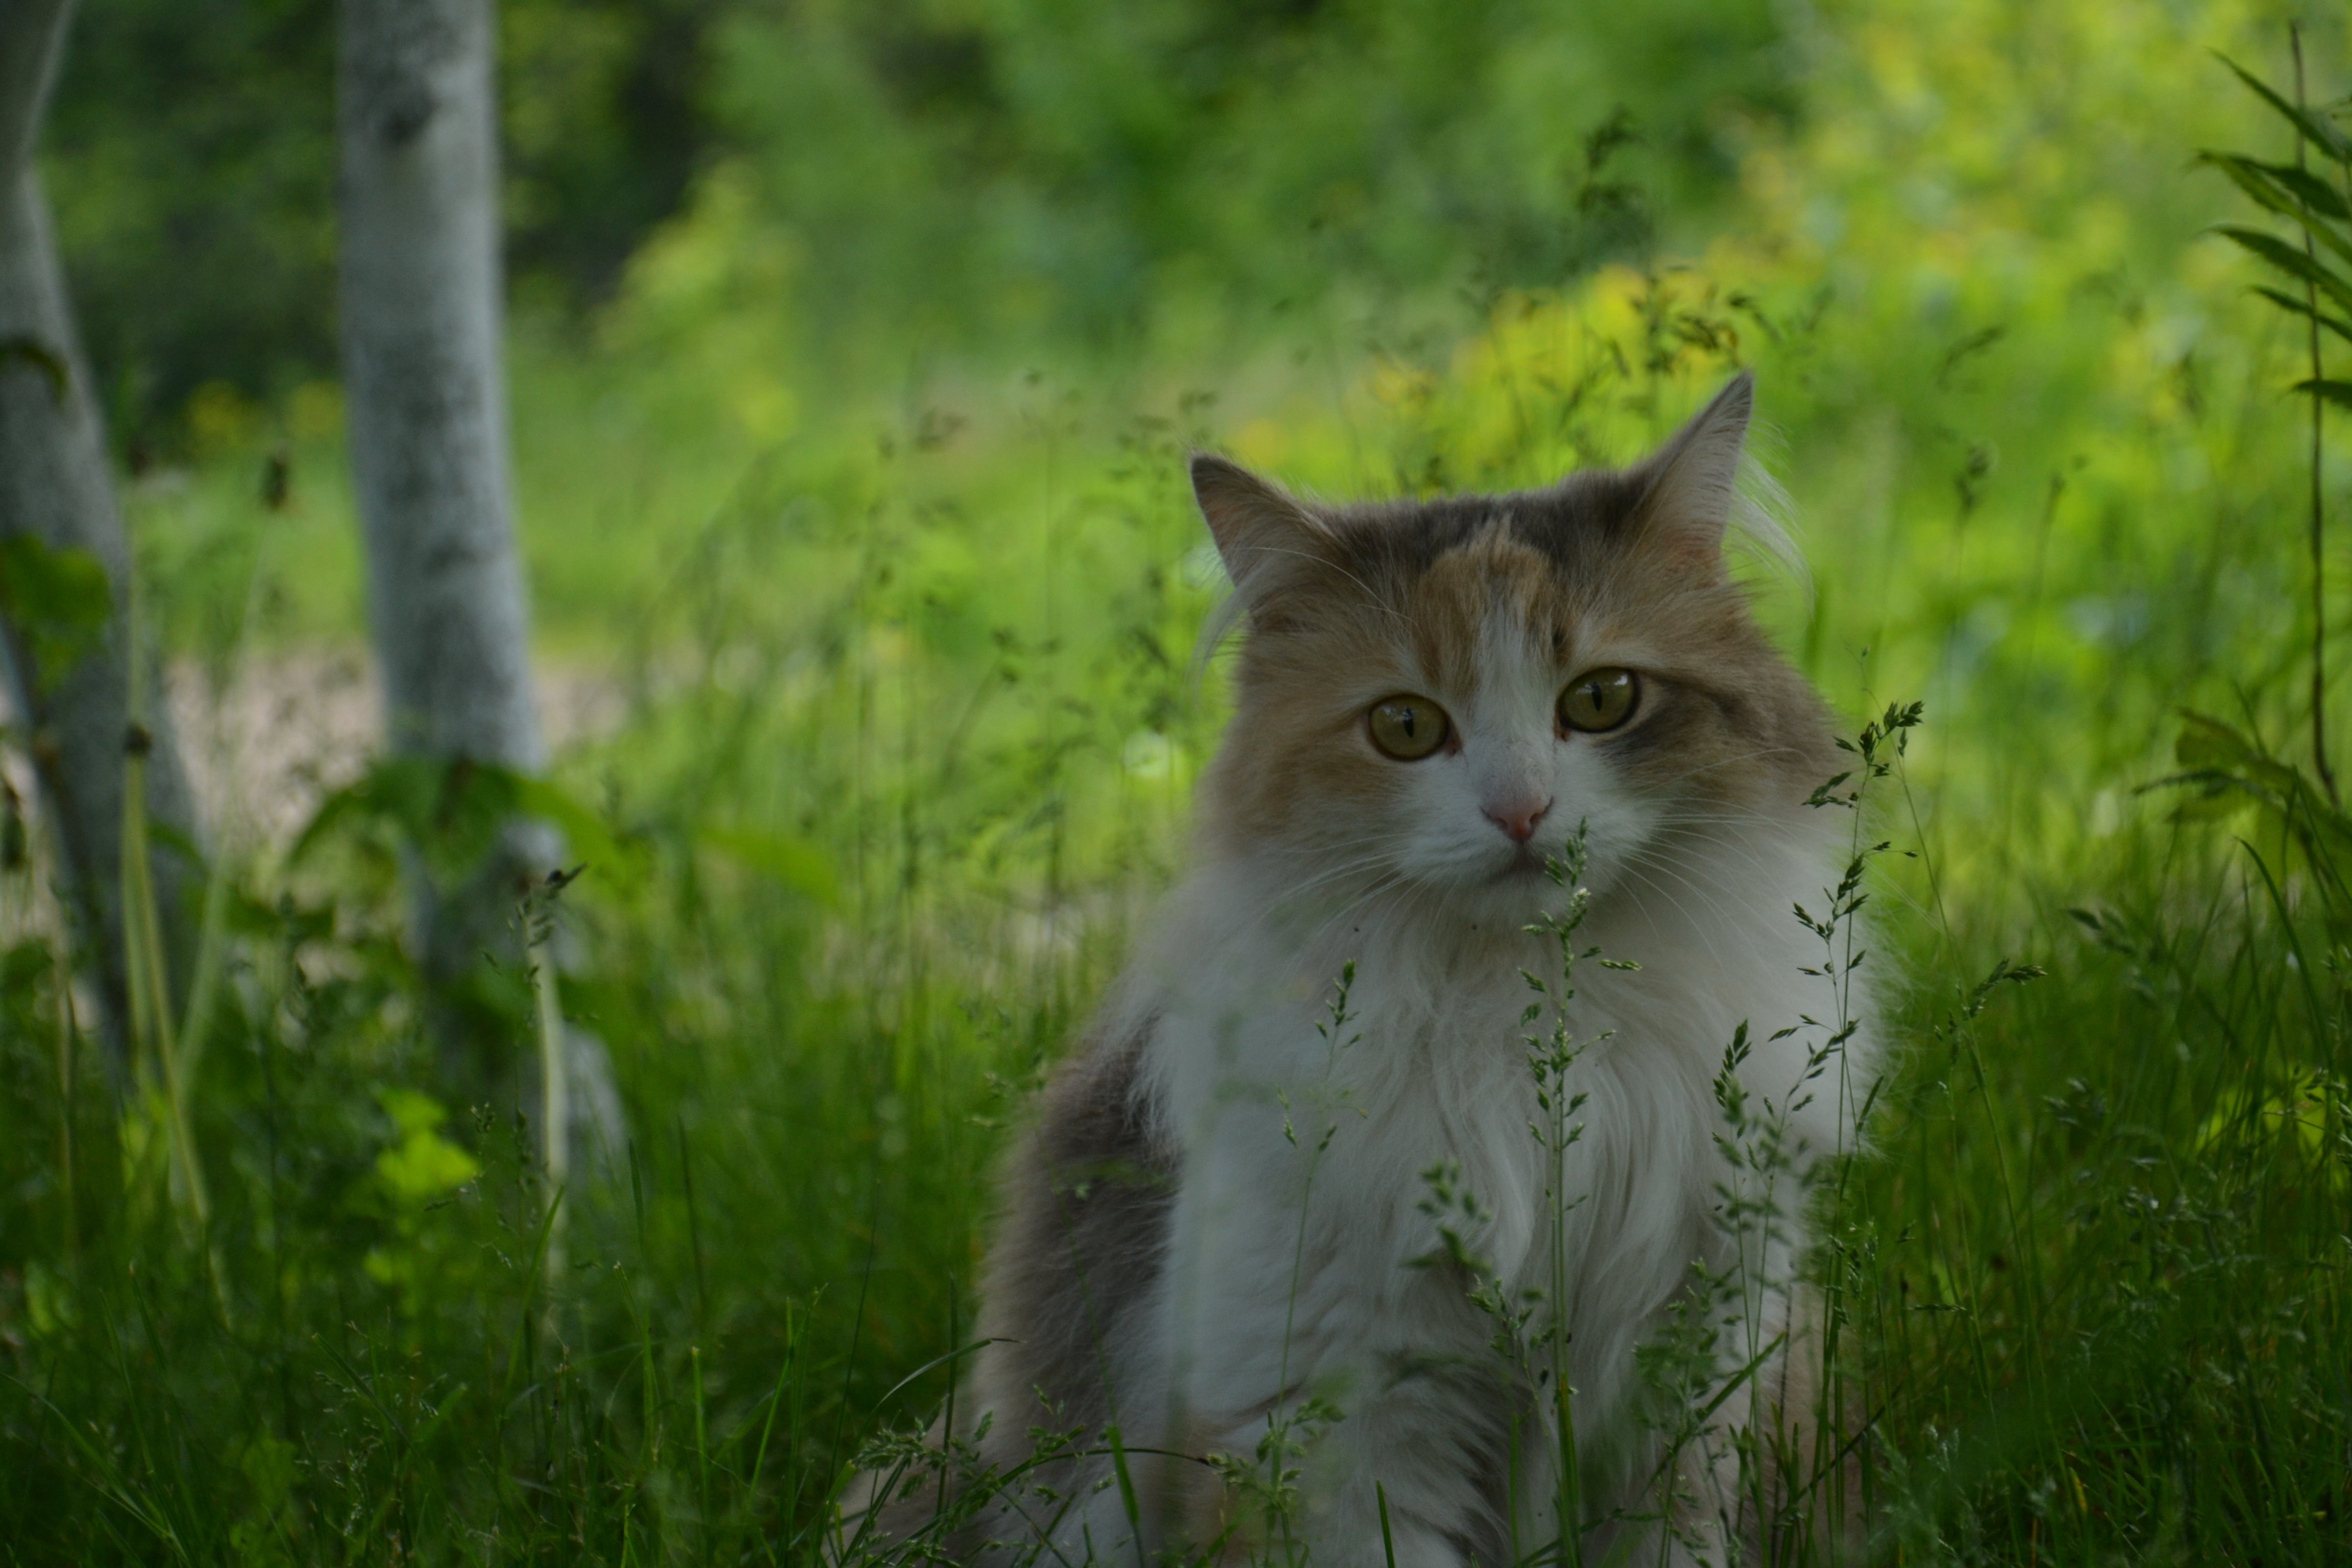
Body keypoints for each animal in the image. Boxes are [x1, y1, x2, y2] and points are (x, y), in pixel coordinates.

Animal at [865, 374, 1872, 1561]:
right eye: (1404, 725)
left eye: (1600, 700)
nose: (1521, 811)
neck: (1525, 1029)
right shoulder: (1338, 1419)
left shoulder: (1698, 1383)